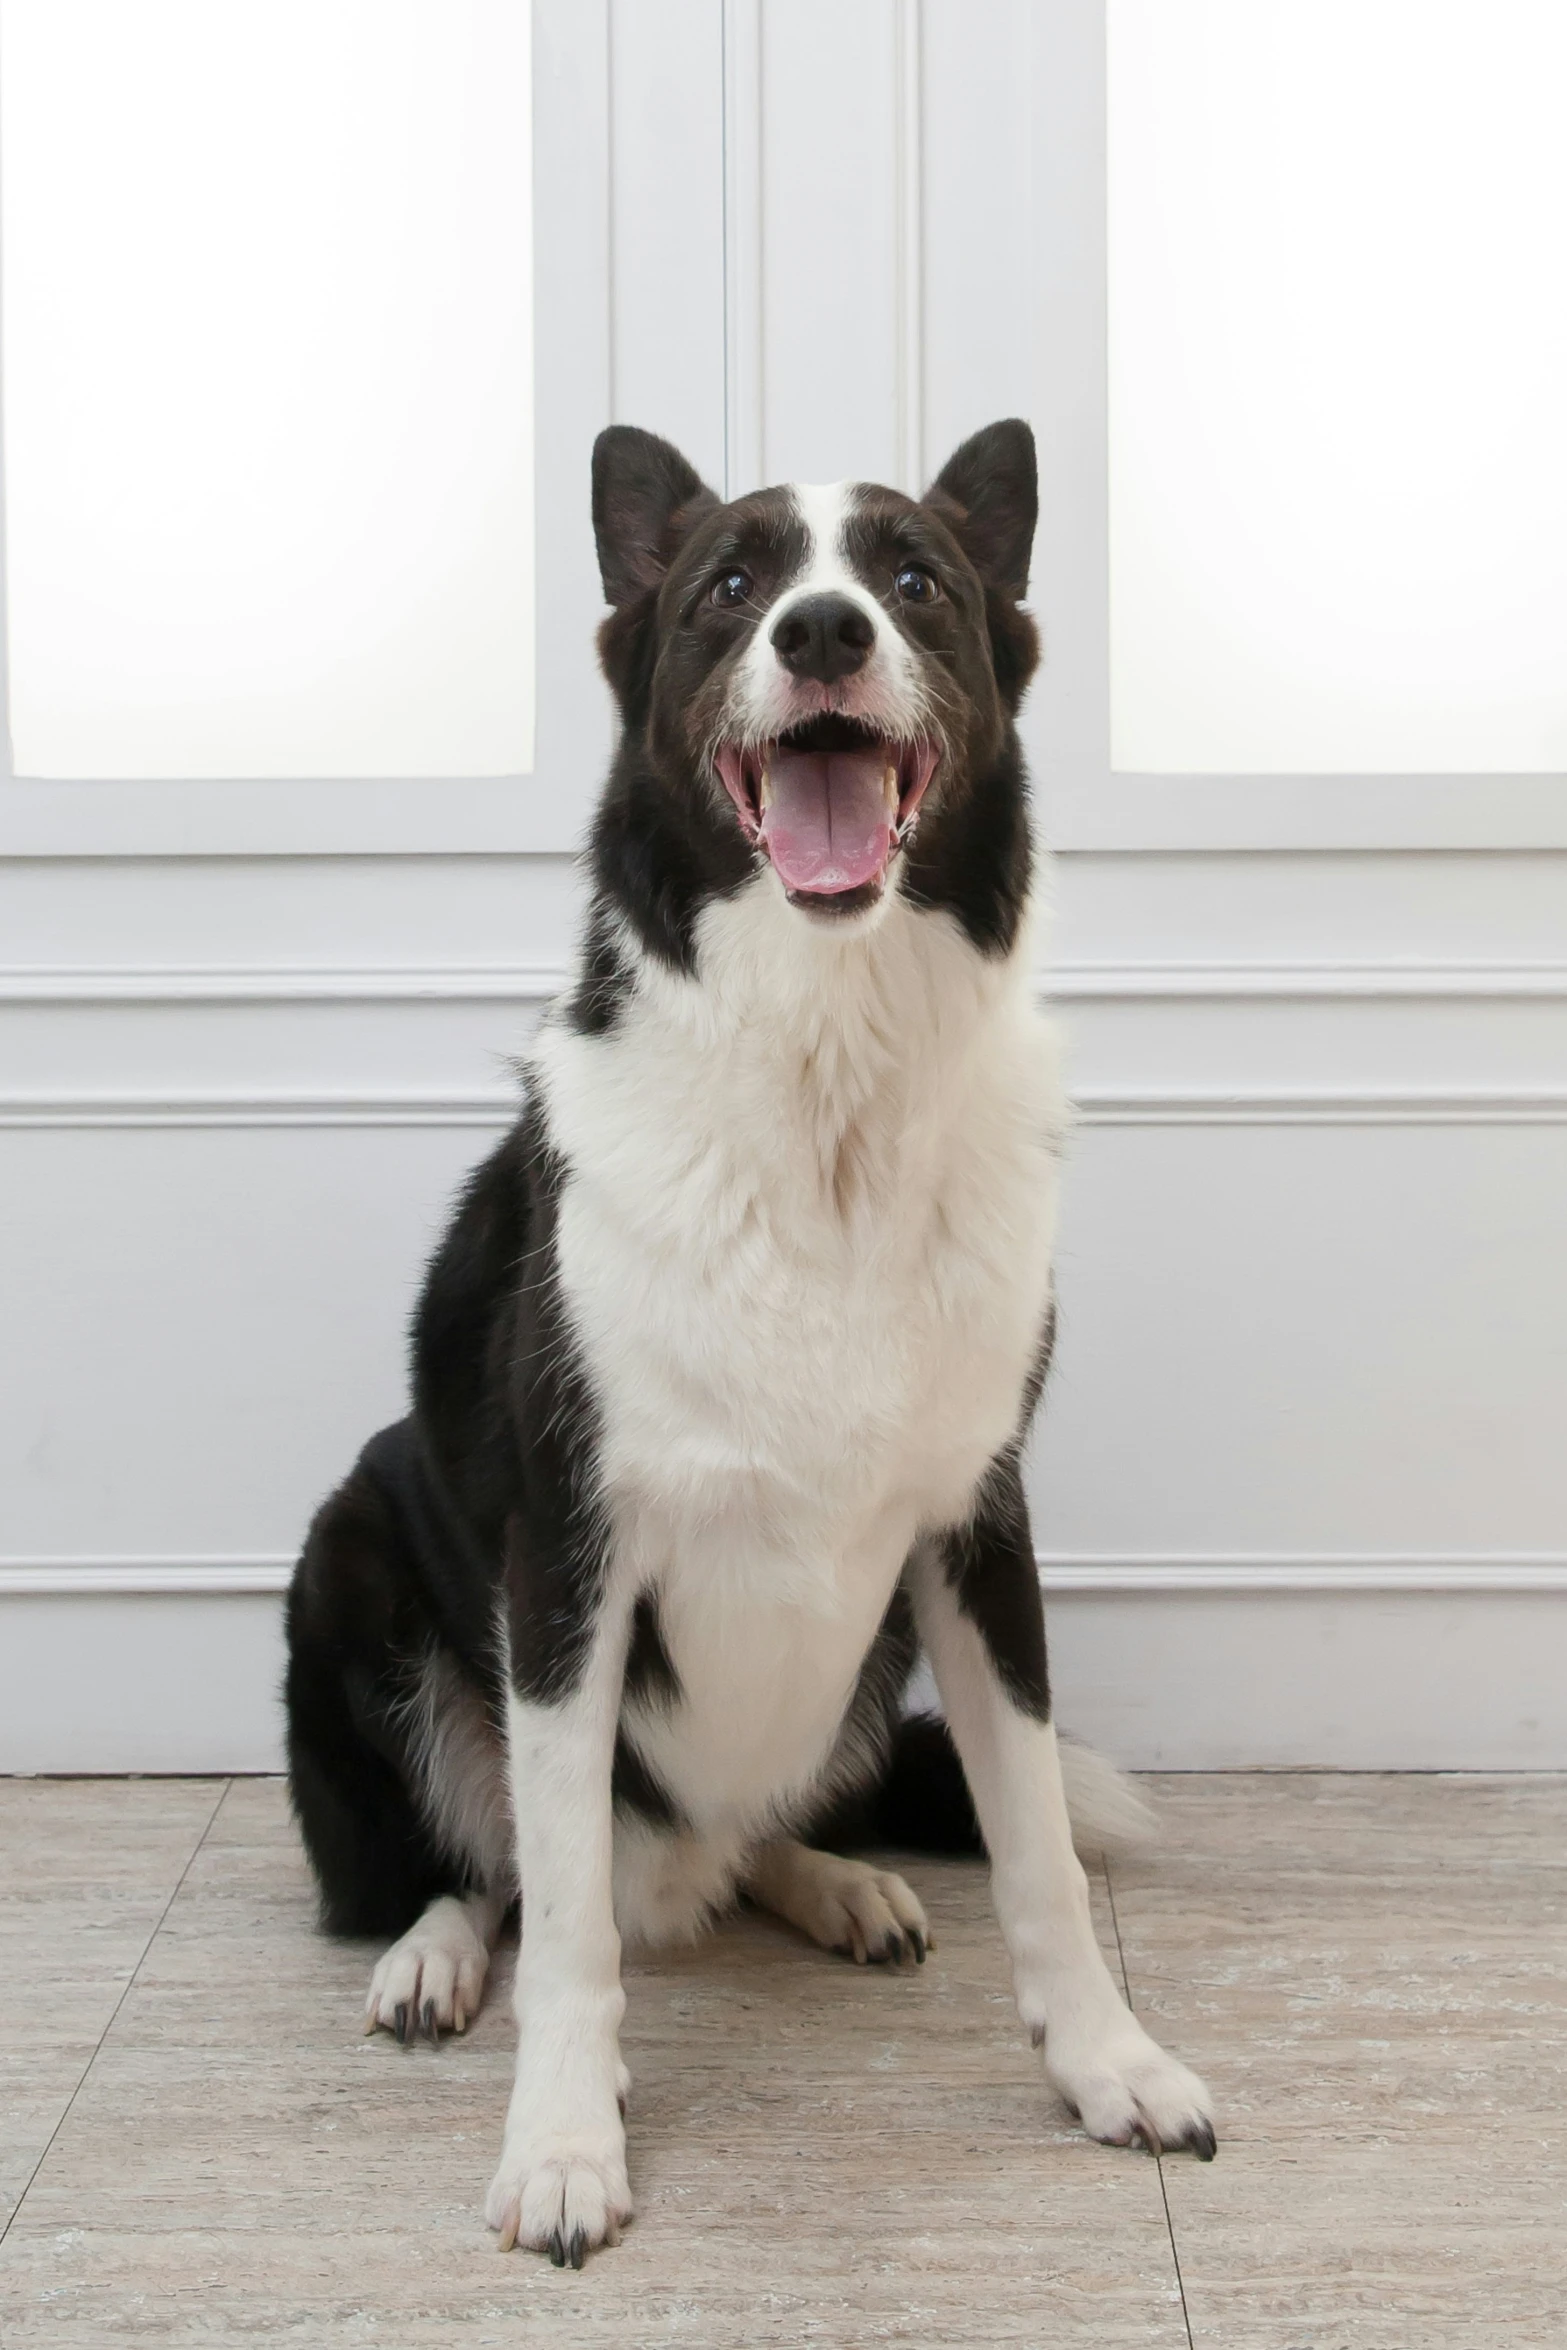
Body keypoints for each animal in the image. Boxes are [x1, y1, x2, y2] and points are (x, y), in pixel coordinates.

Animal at [281, 418, 1221, 2256]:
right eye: (729, 585)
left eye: (913, 575)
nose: (824, 632)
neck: (822, 1070)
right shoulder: (568, 1554)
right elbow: (565, 1922)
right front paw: (562, 2144)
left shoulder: (978, 1525)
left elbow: (1035, 1843)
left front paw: (1108, 2061)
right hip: (345, 1556)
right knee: (485, 1870)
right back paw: (431, 1955)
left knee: (749, 1836)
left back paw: (832, 1879)